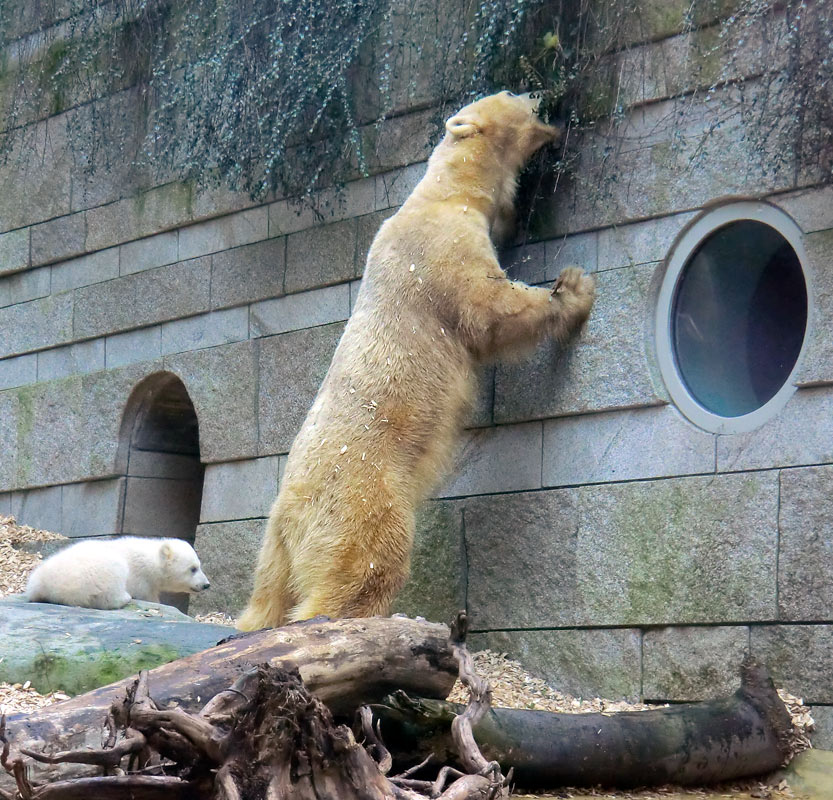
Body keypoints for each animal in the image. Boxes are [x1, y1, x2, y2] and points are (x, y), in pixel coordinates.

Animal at [237, 92, 596, 632]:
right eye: (513, 97)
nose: (540, 95)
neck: (442, 194)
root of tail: (290, 518)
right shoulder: (441, 250)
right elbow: (489, 308)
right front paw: (572, 289)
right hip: (363, 498)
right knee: (365, 566)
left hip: (273, 548)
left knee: (266, 599)